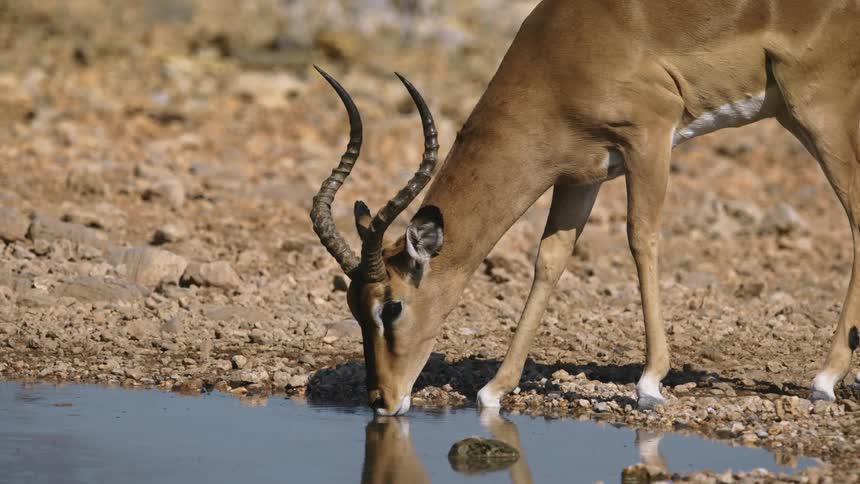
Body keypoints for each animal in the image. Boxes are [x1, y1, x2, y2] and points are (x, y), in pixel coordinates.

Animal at [310, 0, 860, 416]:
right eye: (351, 307)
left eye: (392, 306)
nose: (381, 400)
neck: (560, 55)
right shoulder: (580, 176)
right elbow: (548, 262)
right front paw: (494, 389)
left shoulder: (649, 136)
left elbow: (641, 238)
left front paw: (650, 383)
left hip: (818, 114)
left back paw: (825, 379)